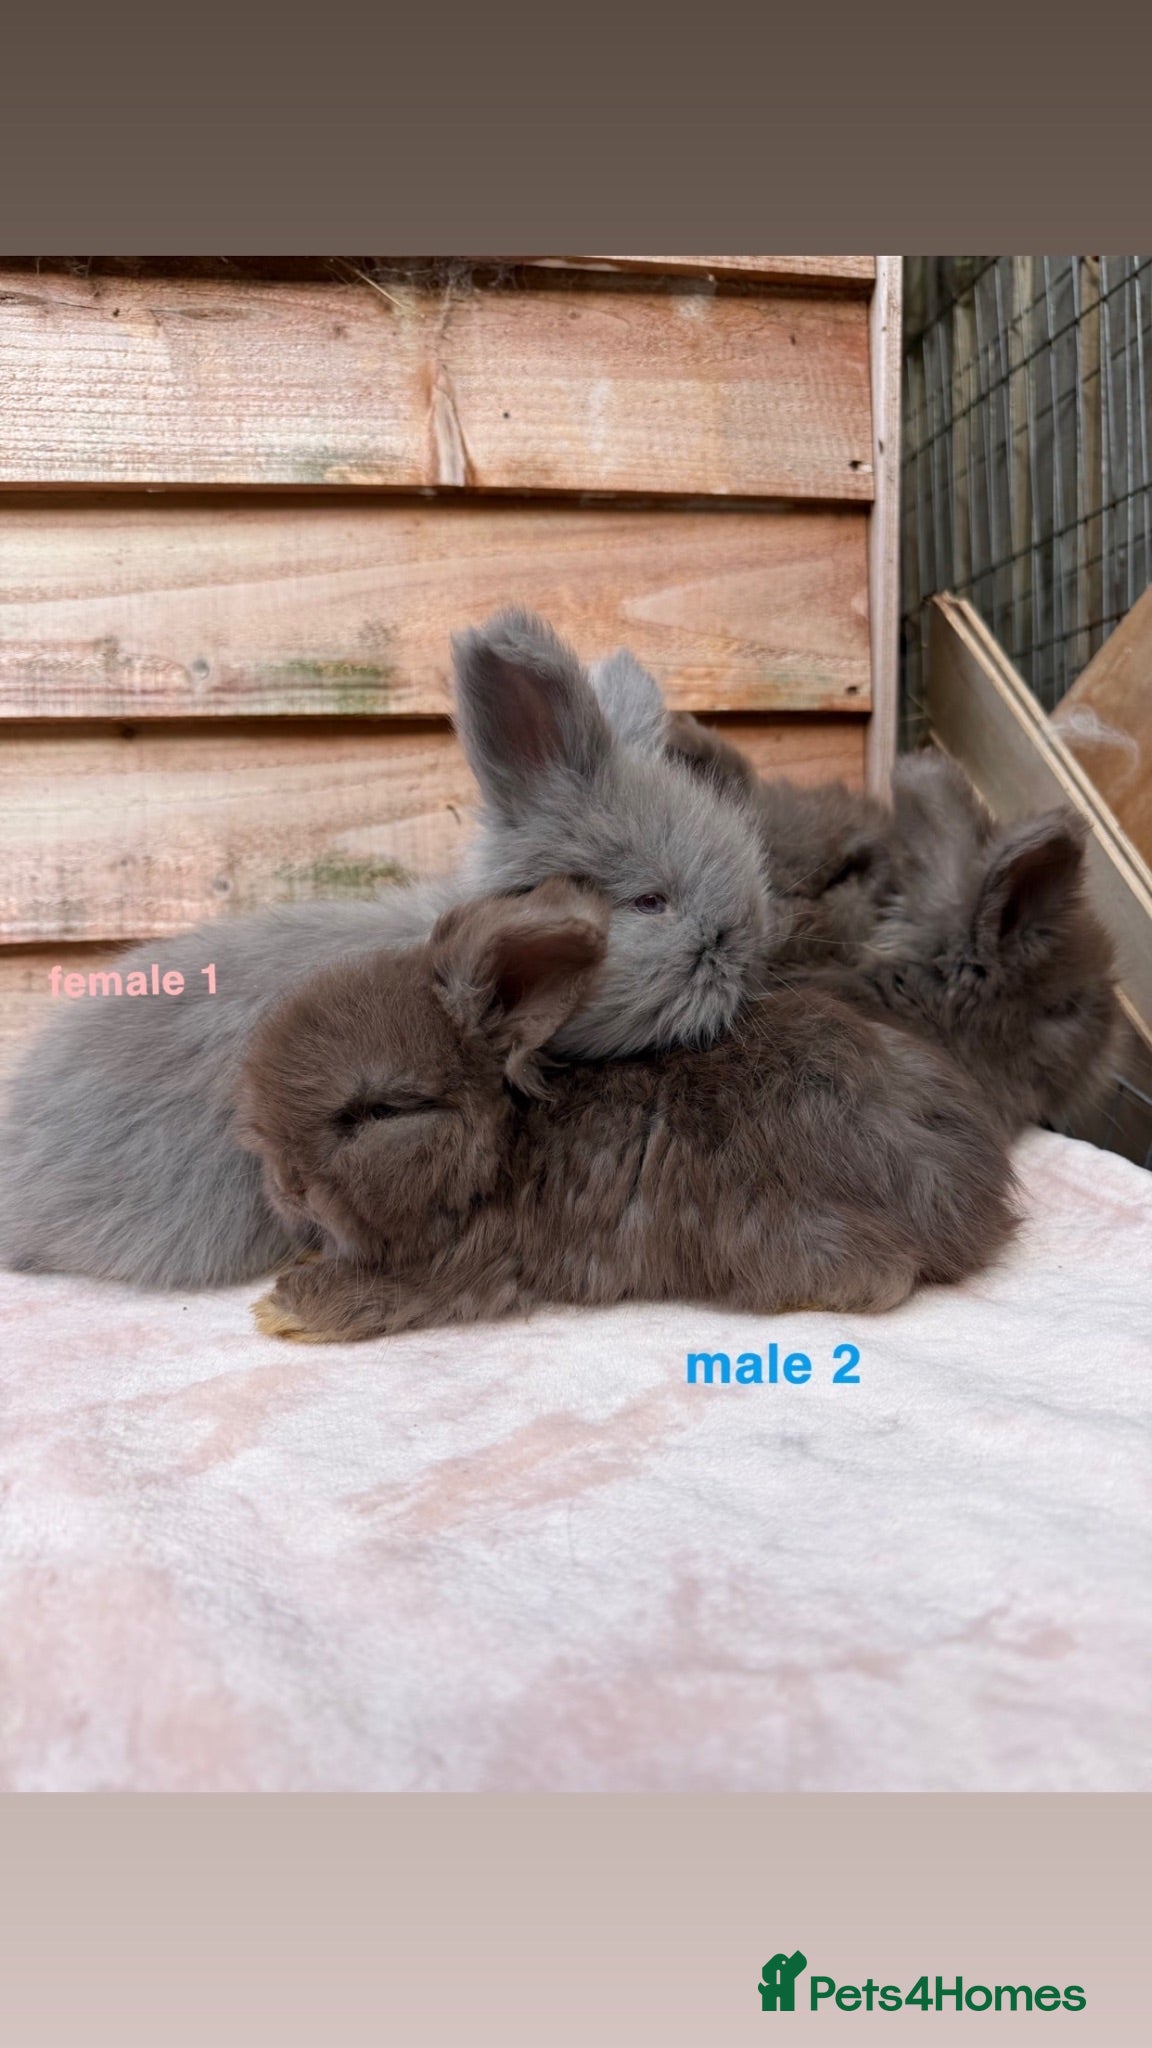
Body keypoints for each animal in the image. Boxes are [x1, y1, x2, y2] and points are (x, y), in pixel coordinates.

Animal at [237, 879, 1018, 1344]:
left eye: (381, 1112)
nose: (285, 1186)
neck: (507, 1143)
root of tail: (977, 1206)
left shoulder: (469, 1266)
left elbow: (372, 1293)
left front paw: (280, 1308)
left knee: (882, 1281)